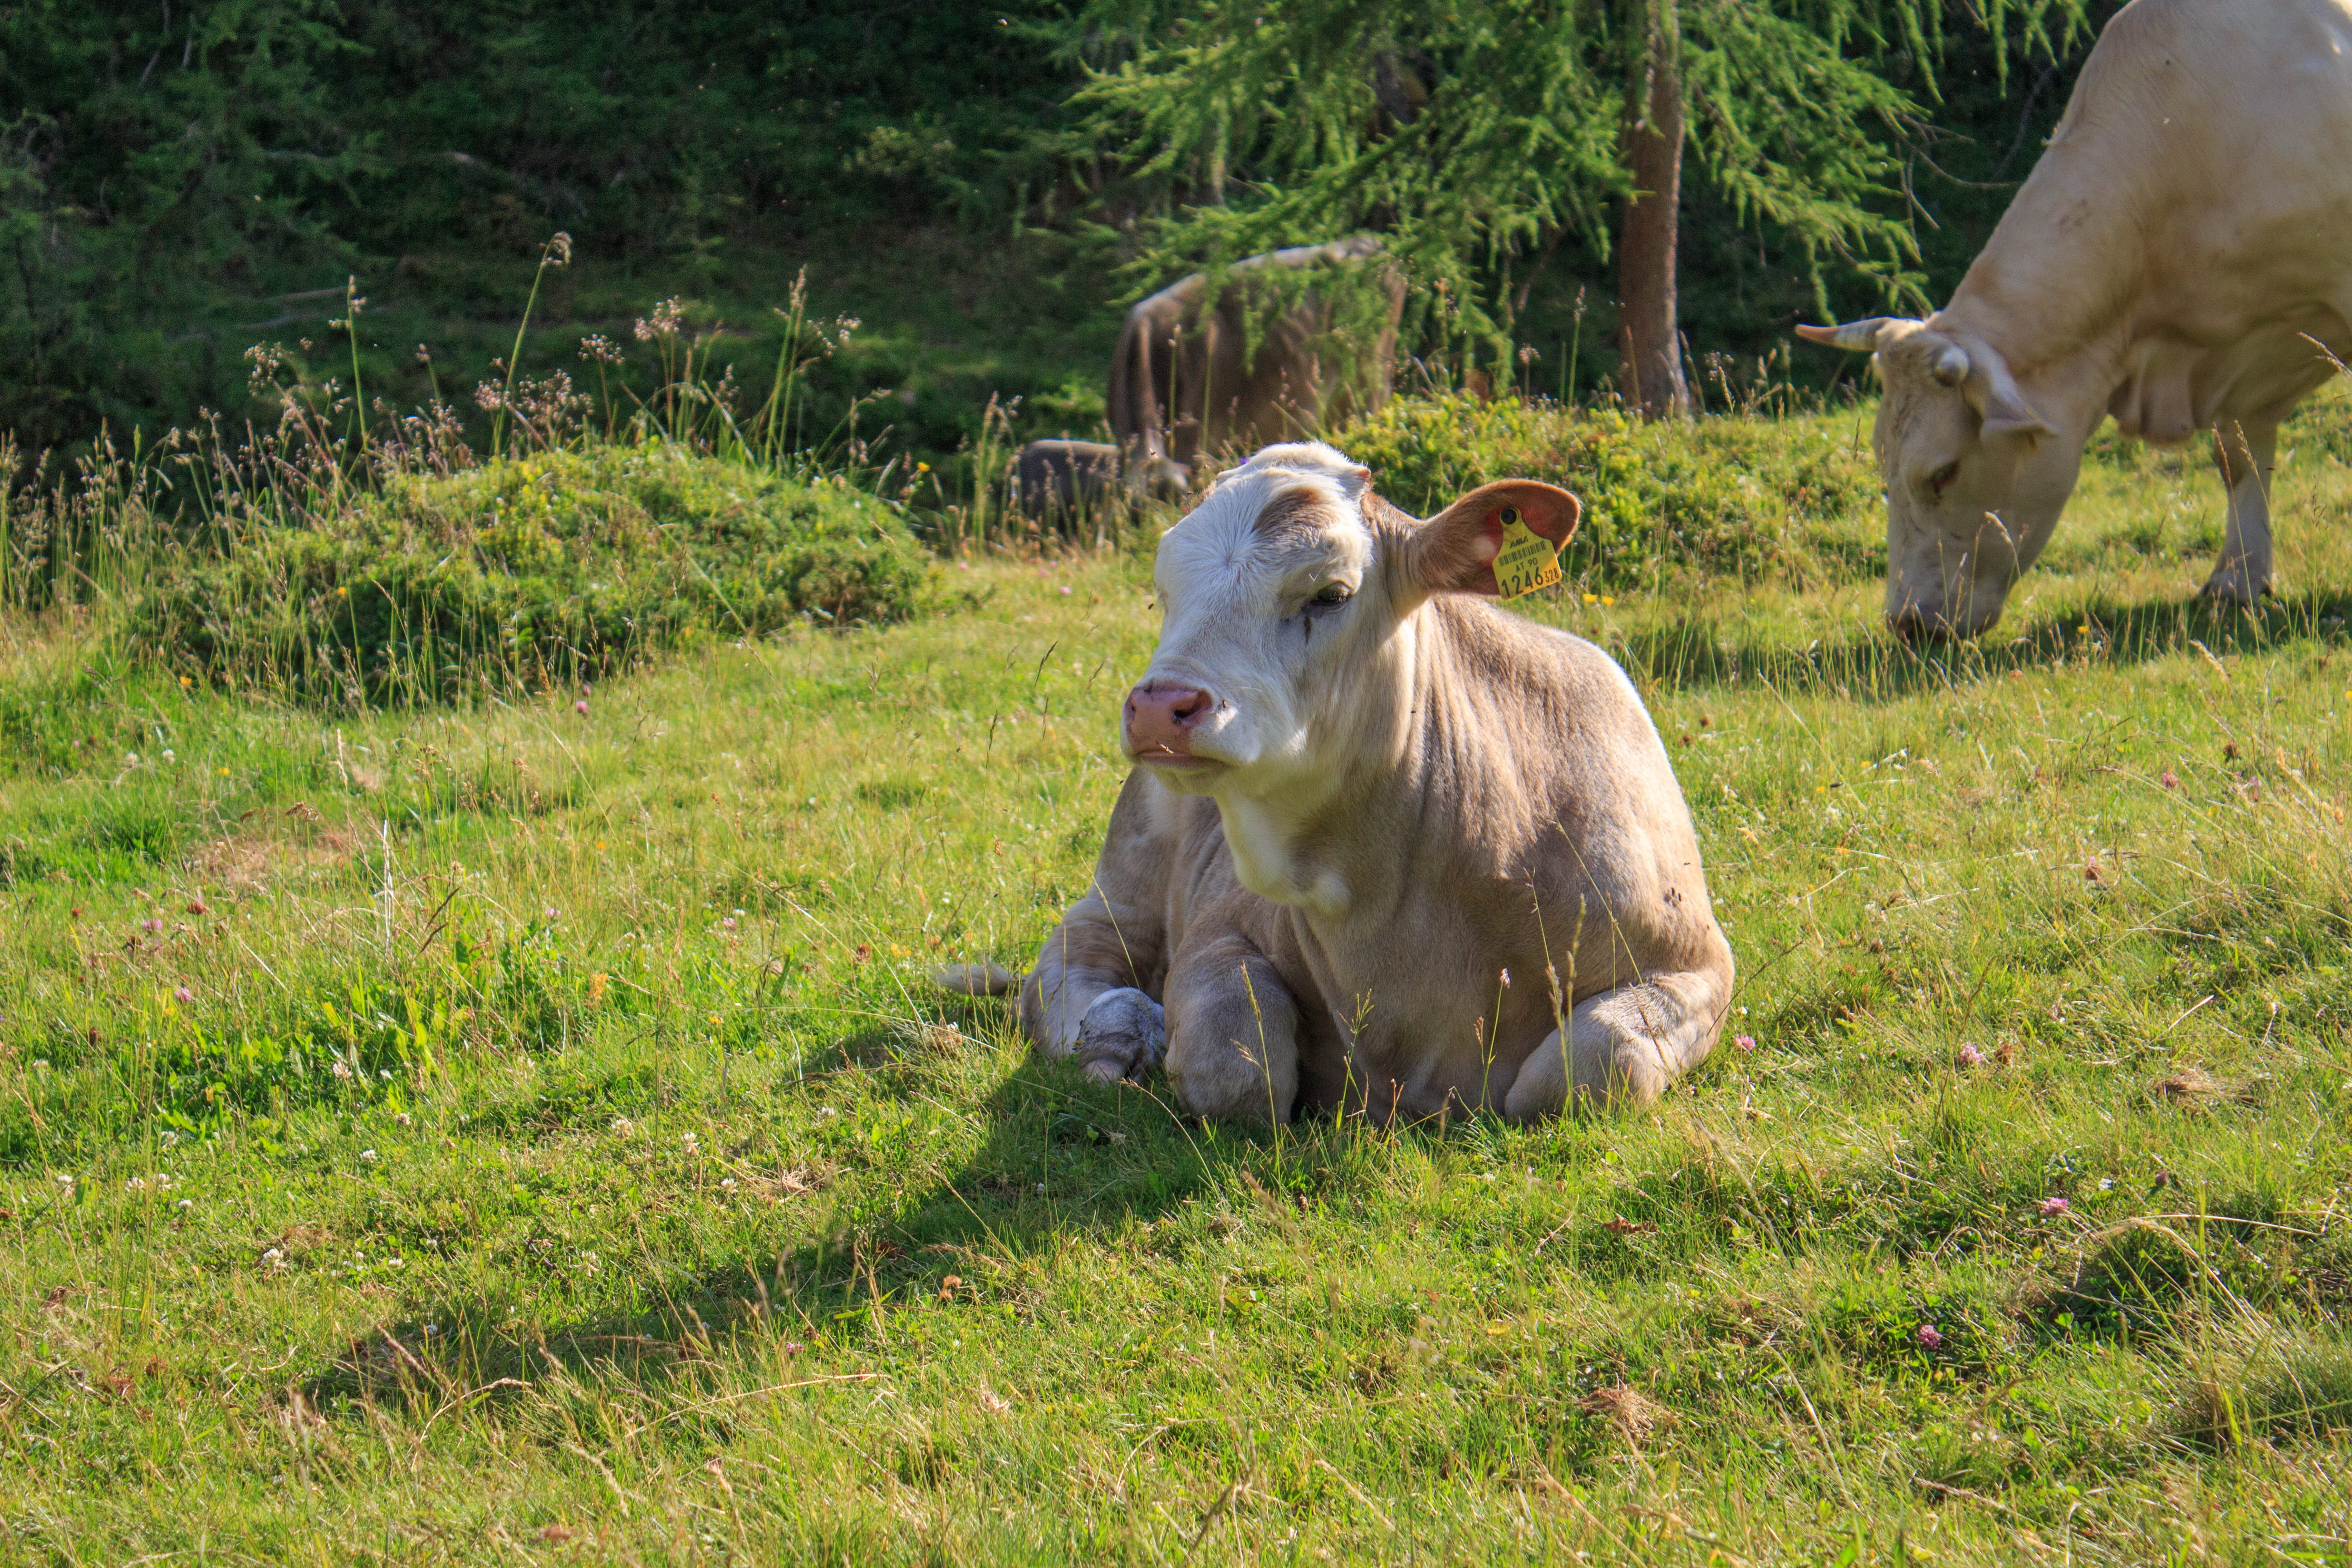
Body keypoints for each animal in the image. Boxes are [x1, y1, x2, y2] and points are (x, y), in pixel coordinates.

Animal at [944, 442, 1733, 1124]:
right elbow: (1236, 1065)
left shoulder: (1697, 964)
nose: (1161, 706)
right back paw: (1124, 1031)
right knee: (1066, 968)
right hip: (1122, 885)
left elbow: (1585, 1069)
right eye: (1166, 592)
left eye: (1331, 592)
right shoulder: (1217, 930)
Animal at [1796, 0, 2352, 637]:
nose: (1907, 621)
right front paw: (2237, 580)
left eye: (1944, 473)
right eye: (1884, 463)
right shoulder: (2239, 356)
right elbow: (2240, 459)